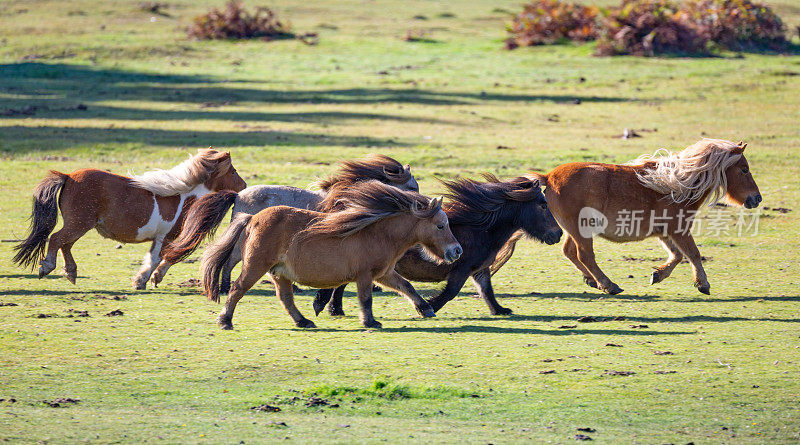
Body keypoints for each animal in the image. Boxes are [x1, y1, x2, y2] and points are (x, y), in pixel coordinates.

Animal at [11, 147, 244, 290]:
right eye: (232, 171)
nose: (243, 186)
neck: (184, 196)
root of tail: (67, 177)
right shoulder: (166, 236)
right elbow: (160, 257)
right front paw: (144, 280)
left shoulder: (162, 238)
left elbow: (160, 257)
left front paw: (147, 280)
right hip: (78, 224)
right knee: (57, 239)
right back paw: (47, 267)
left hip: (80, 225)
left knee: (65, 244)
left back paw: (71, 273)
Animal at [188, 180, 462, 330]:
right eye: (441, 225)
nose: (457, 250)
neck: (377, 231)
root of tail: (252, 219)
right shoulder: (365, 276)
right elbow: (366, 299)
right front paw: (370, 322)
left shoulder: (384, 274)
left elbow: (406, 286)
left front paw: (425, 309)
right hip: (255, 267)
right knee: (237, 289)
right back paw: (225, 321)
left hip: (278, 273)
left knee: (285, 298)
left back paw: (303, 321)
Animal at [524, 137, 764, 294]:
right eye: (744, 169)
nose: (757, 198)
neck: (677, 186)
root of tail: (549, 176)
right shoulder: (679, 229)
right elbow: (693, 254)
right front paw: (703, 284)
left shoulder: (666, 233)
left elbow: (677, 256)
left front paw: (657, 275)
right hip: (580, 230)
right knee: (585, 256)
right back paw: (608, 285)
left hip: (574, 231)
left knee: (570, 252)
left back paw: (593, 281)